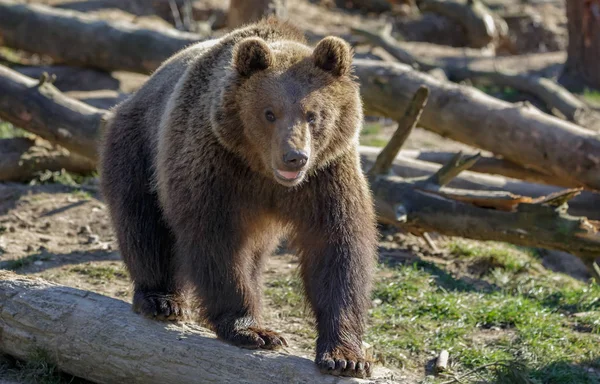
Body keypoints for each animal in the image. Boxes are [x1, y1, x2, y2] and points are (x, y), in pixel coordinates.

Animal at [101, 18, 378, 378]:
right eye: (269, 113)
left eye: (313, 114)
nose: (294, 157)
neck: (262, 172)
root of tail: (141, 89)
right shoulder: (215, 165)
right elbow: (216, 241)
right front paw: (253, 330)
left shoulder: (326, 177)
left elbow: (337, 250)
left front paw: (346, 356)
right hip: (137, 146)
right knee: (143, 222)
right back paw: (161, 298)